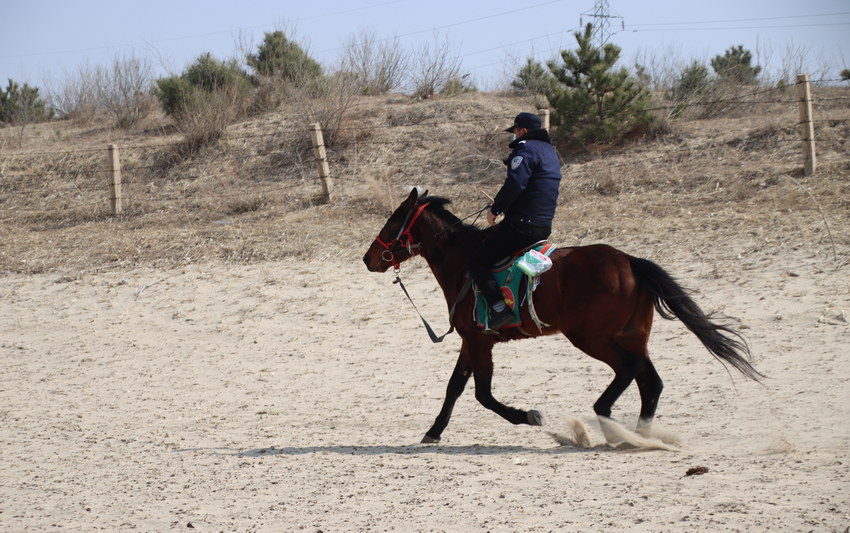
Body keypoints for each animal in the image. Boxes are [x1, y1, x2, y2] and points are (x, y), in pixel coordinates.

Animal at [362, 187, 760, 444]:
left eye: (394, 220)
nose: (368, 259)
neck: (463, 262)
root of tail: (630, 261)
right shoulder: (472, 340)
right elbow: (455, 387)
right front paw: (434, 431)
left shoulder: (478, 341)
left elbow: (482, 394)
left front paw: (527, 416)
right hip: (632, 335)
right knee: (651, 381)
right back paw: (640, 435)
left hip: (591, 337)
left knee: (628, 370)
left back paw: (606, 418)